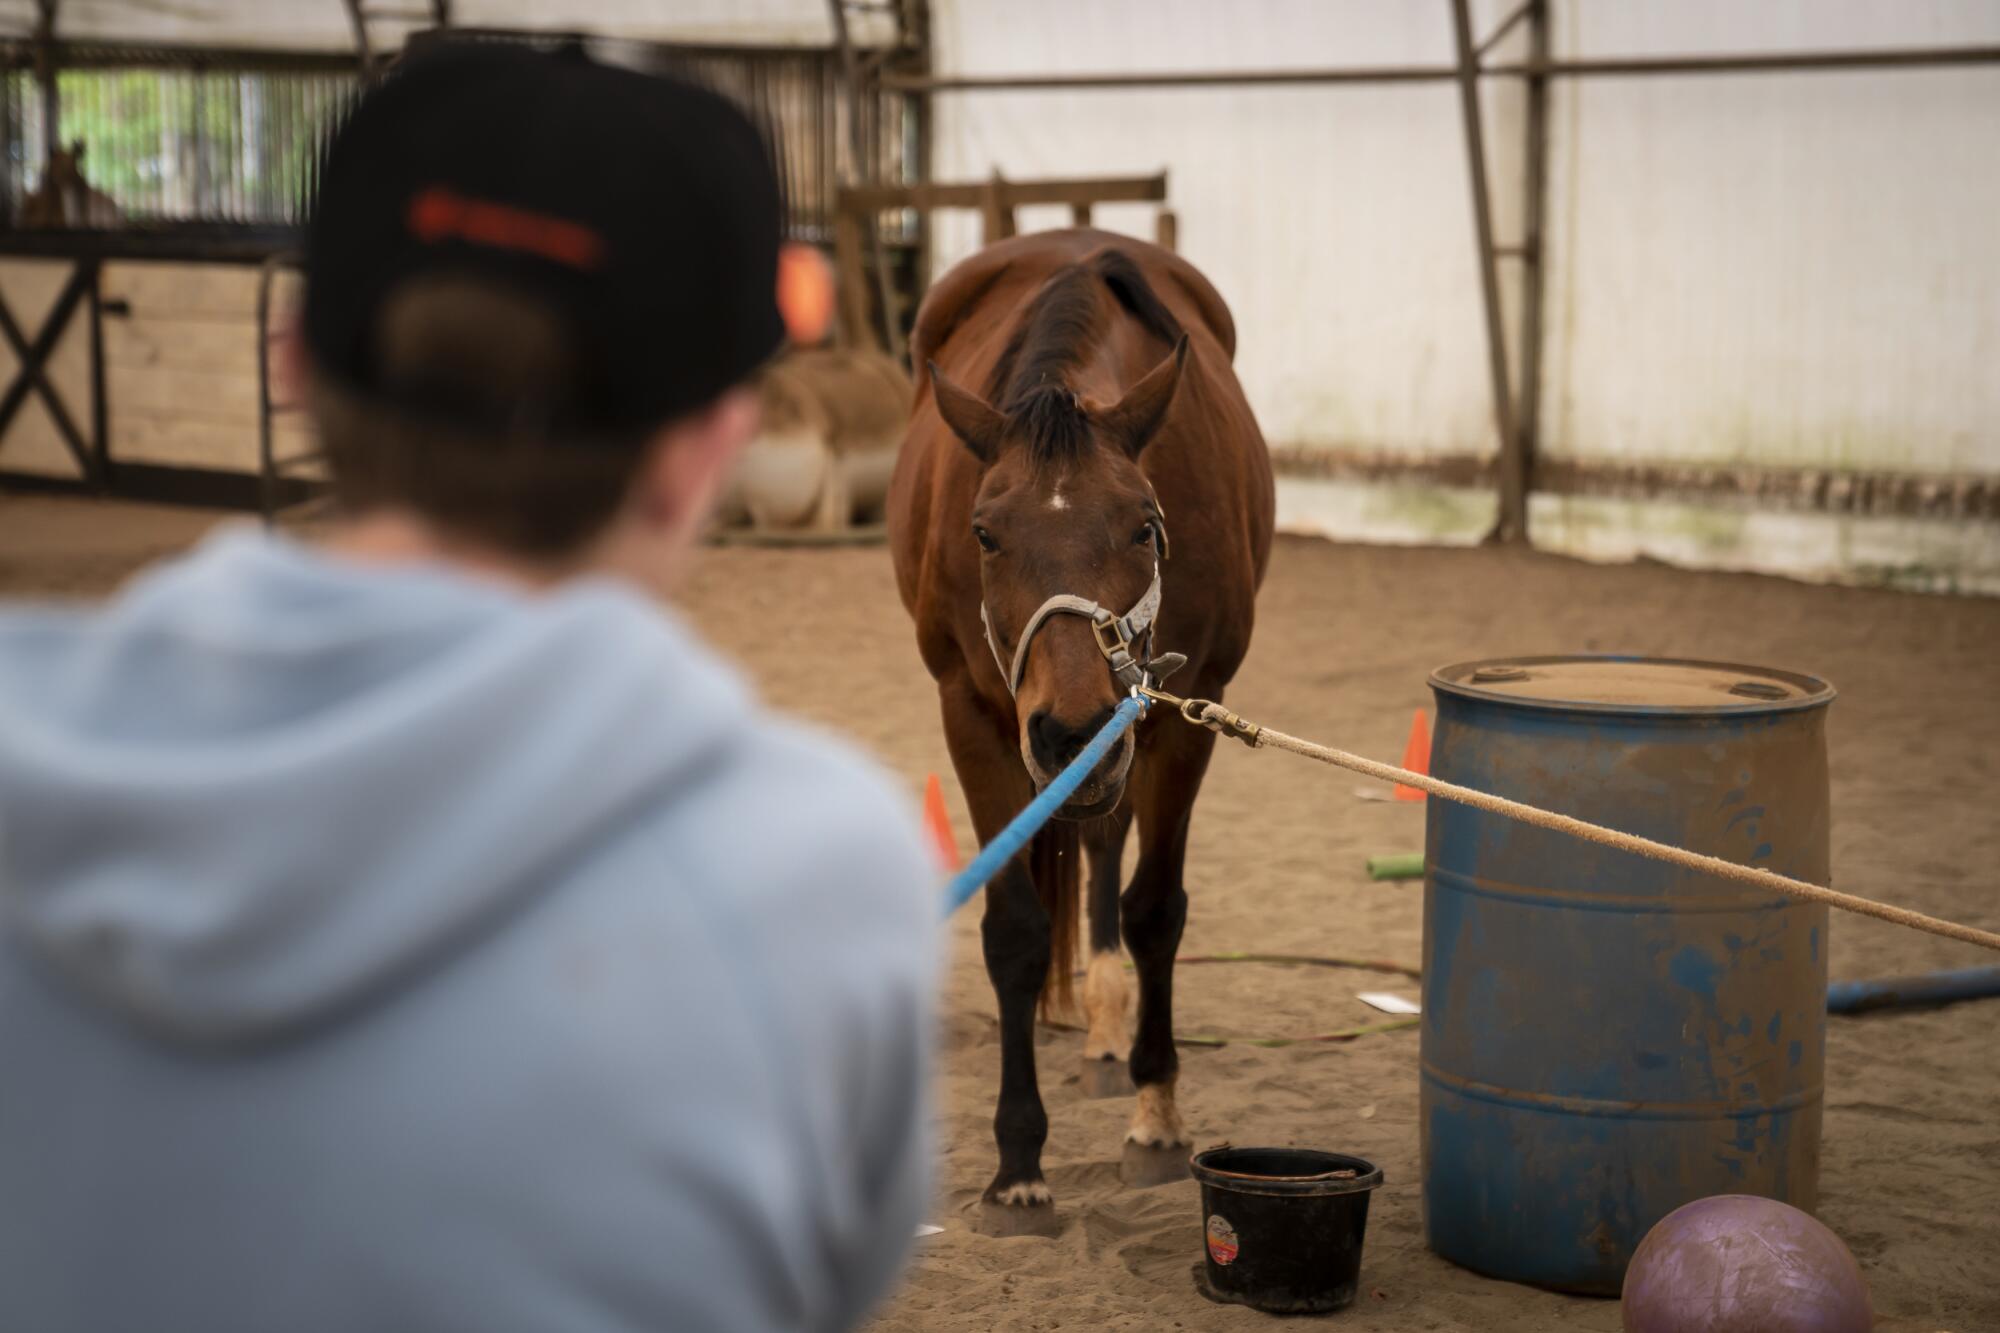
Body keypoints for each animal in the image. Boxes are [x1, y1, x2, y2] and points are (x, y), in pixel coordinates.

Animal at [888, 231, 1264, 1216]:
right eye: (984, 532)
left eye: (1144, 525)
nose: (1068, 727)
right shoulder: (971, 711)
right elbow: (1014, 930)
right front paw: (1018, 1162)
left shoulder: (1182, 710)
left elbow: (1155, 909)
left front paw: (1157, 1114)